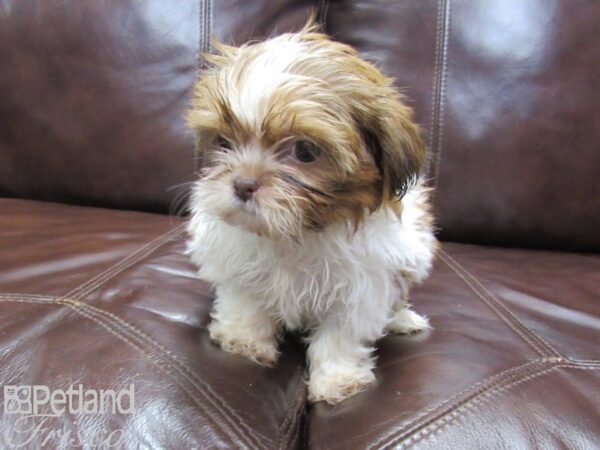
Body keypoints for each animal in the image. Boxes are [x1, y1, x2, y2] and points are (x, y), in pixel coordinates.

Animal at [184, 22, 436, 406]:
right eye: (224, 143)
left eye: (304, 151)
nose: (243, 184)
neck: (298, 233)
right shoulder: (238, 263)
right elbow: (245, 300)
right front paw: (243, 341)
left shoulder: (361, 286)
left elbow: (341, 333)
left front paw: (337, 380)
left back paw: (402, 319)